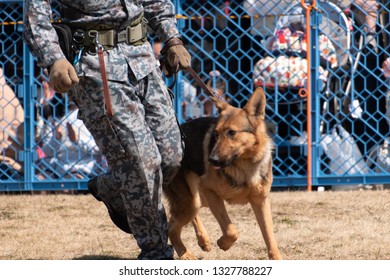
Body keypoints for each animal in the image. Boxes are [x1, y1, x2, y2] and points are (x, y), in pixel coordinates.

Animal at [163, 87, 282, 260]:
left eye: (232, 132)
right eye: (216, 134)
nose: (212, 160)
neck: (244, 165)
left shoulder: (261, 202)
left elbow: (270, 237)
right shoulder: (211, 192)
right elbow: (231, 230)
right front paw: (223, 243)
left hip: (196, 200)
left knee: (178, 219)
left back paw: (203, 240)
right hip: (193, 201)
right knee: (171, 227)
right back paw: (186, 254)